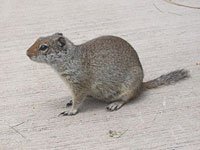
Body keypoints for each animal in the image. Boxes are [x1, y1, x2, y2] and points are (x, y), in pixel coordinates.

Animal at [26, 32, 189, 115]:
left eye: (43, 47)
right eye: (38, 39)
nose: (27, 53)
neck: (70, 58)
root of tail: (142, 84)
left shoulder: (80, 84)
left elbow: (78, 99)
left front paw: (71, 111)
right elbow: (75, 97)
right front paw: (70, 101)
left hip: (129, 87)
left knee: (128, 98)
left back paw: (115, 104)